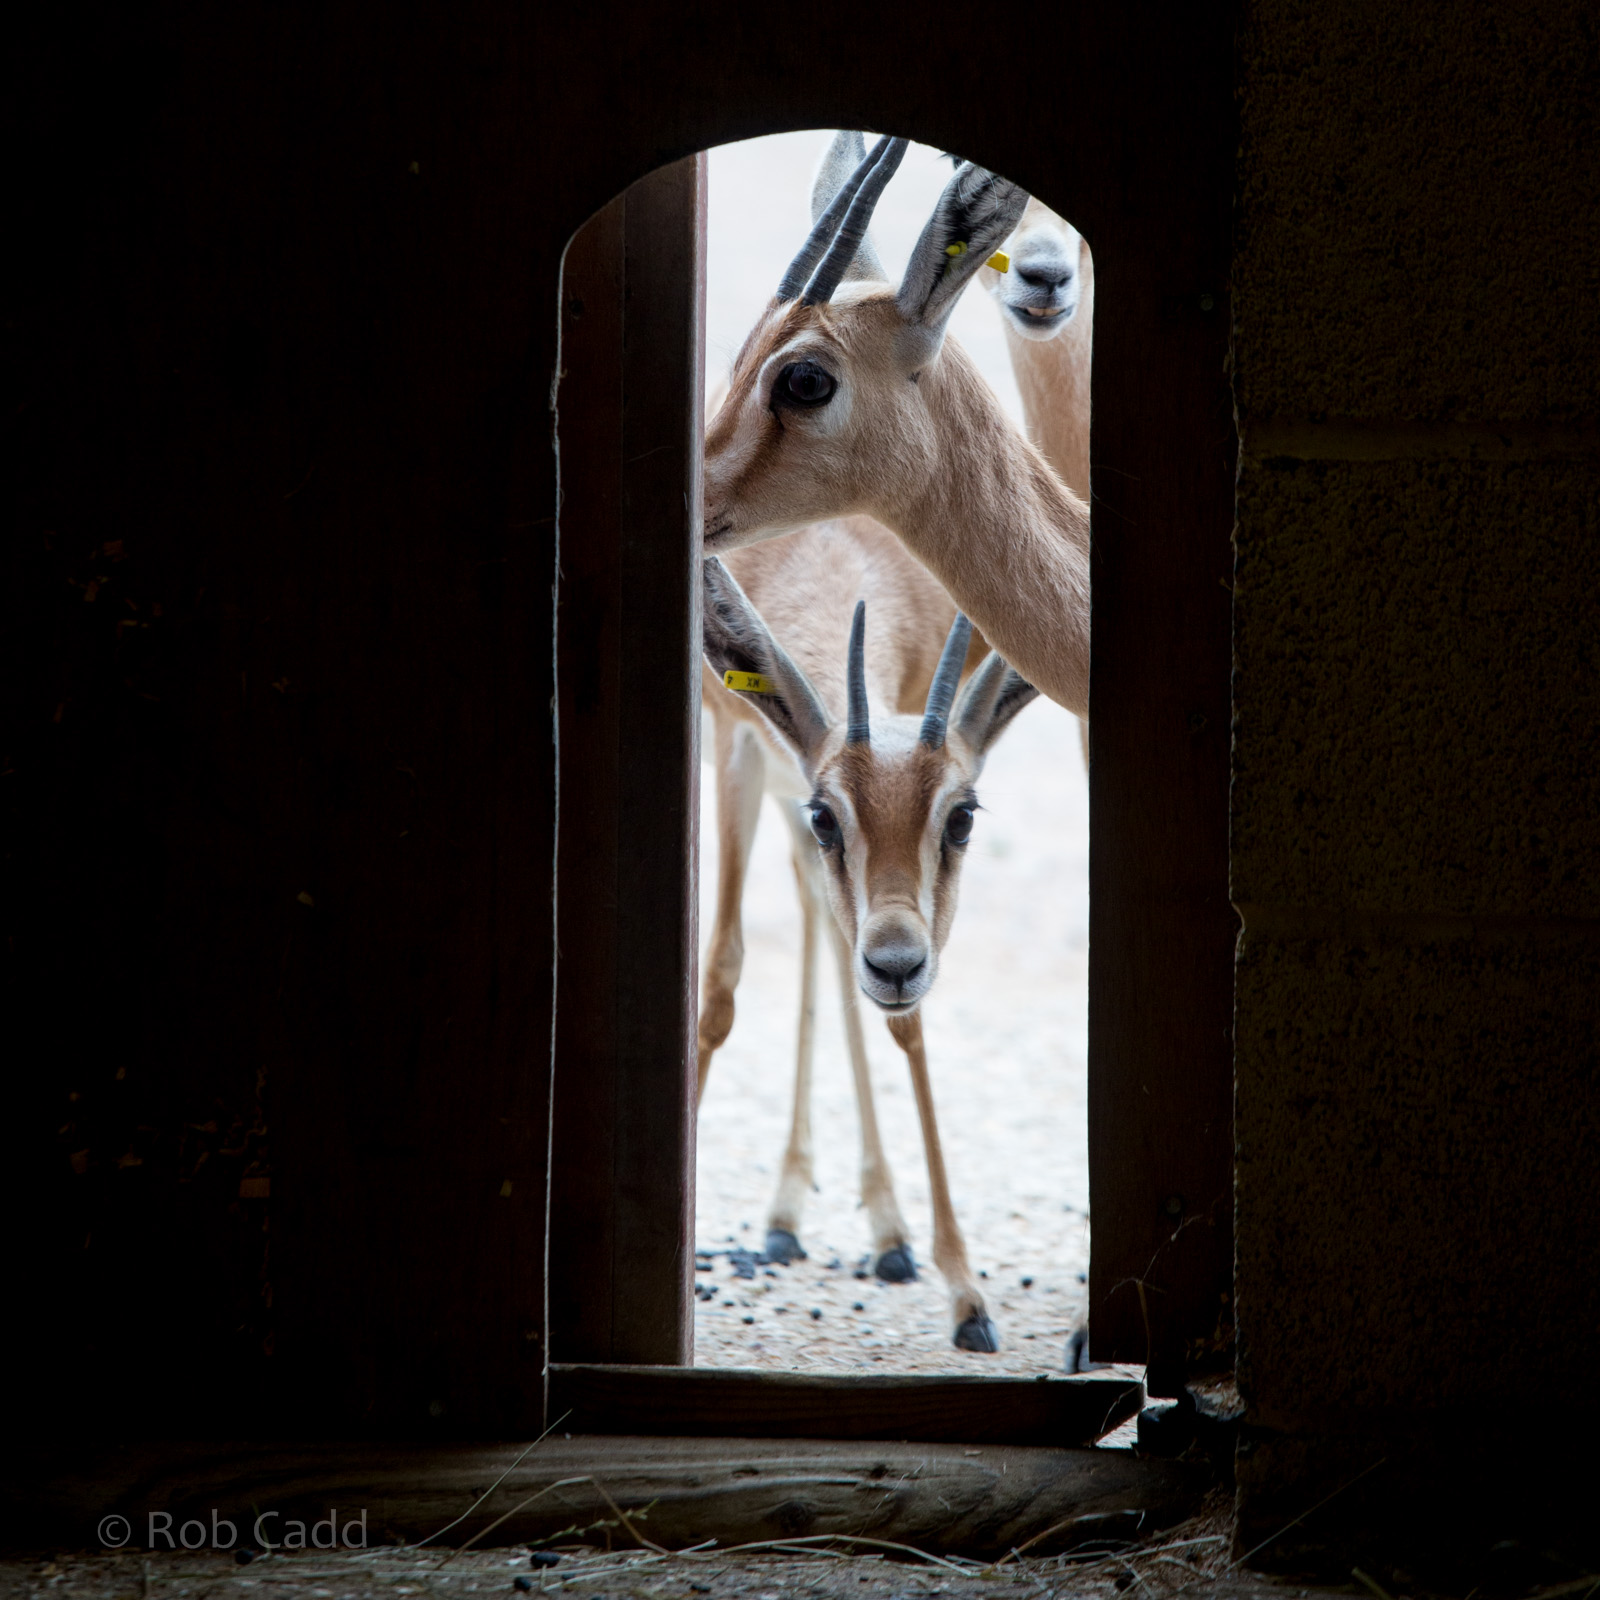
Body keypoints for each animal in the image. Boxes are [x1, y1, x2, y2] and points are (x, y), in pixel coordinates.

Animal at [699, 538, 1038, 1352]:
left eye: (962, 818)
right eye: (830, 816)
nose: (895, 967)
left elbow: (907, 1027)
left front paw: (966, 1296)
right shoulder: (739, 746)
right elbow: (722, 978)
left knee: (823, 927)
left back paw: (863, 1228)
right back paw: (794, 1215)